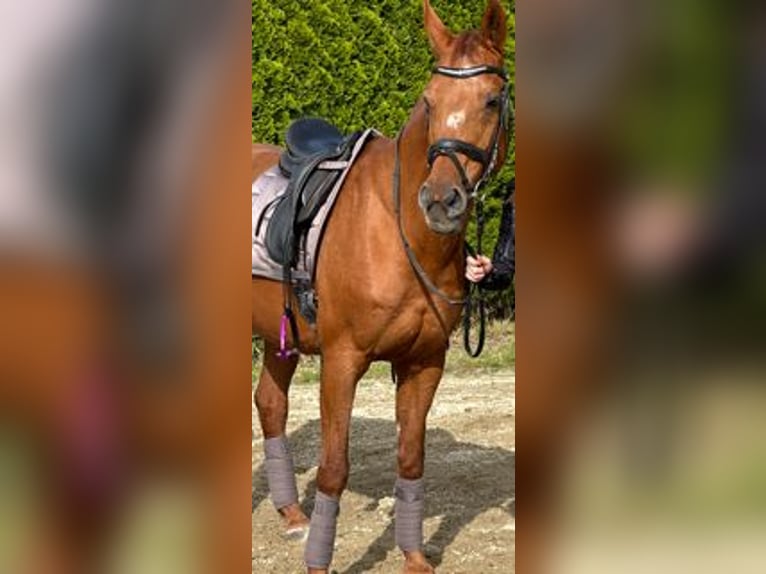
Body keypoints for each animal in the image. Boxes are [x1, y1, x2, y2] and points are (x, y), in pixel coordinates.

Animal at [251, 1, 511, 572]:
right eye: (429, 101)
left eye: (490, 99)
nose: (440, 200)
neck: (397, 230)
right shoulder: (342, 360)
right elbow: (333, 468)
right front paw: (318, 562)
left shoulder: (425, 362)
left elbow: (411, 459)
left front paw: (413, 557)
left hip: (280, 335)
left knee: (270, 404)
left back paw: (292, 516)